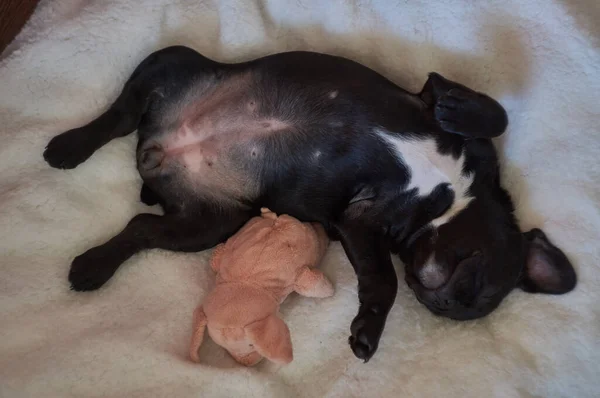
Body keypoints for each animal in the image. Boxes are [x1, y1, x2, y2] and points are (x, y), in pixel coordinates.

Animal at [42, 45, 576, 362]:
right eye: (481, 286)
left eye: (461, 308)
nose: (441, 300)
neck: (451, 196)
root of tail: (156, 151)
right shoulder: (438, 111)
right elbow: (496, 114)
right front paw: (459, 109)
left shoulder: (359, 223)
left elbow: (381, 281)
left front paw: (368, 329)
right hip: (175, 63)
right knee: (119, 114)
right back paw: (69, 147)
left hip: (210, 224)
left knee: (140, 226)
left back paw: (93, 265)